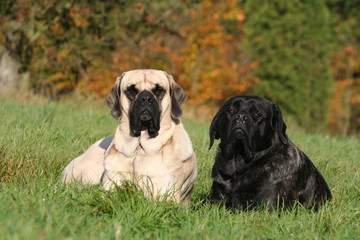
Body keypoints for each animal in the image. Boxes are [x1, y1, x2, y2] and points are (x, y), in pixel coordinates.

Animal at [61, 69, 197, 202]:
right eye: (131, 90)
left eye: (158, 90)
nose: (146, 98)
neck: (138, 149)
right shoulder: (110, 187)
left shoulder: (165, 195)